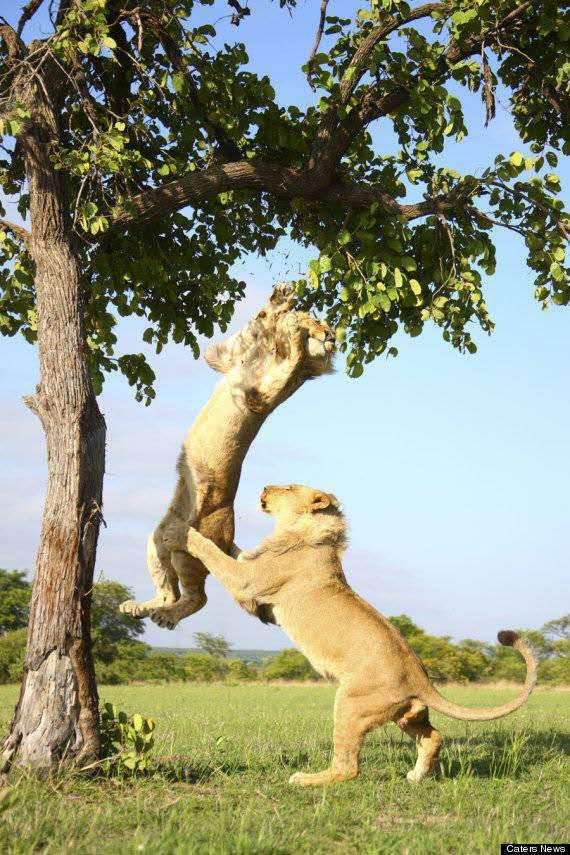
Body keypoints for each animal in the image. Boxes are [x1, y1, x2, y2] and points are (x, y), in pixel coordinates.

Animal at [119, 288, 332, 628]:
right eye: (320, 321)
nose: (330, 336)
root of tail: (228, 536)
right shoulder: (225, 357)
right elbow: (250, 330)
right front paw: (279, 304)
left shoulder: (260, 395)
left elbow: (290, 364)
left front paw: (293, 334)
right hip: (157, 540)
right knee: (170, 593)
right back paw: (141, 608)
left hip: (186, 550)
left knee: (197, 597)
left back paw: (165, 617)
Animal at [183, 484, 536, 784]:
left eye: (288, 487)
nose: (266, 486)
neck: (304, 531)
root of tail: (418, 674)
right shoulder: (249, 570)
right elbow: (232, 550)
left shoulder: (248, 582)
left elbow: (216, 555)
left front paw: (188, 531)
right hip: (405, 714)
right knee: (433, 736)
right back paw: (416, 776)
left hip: (350, 705)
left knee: (348, 767)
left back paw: (307, 779)